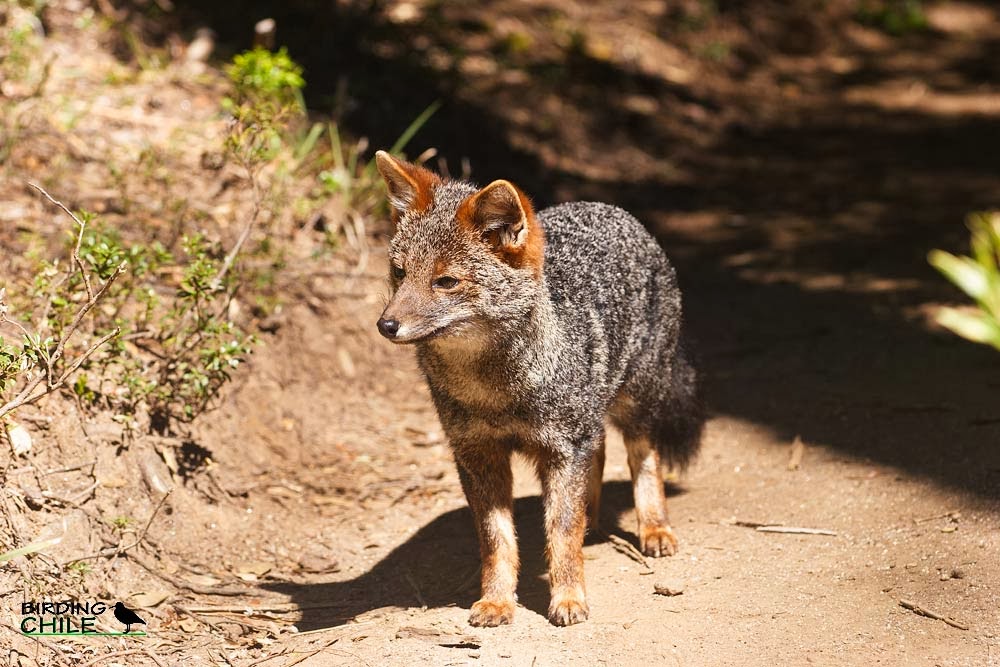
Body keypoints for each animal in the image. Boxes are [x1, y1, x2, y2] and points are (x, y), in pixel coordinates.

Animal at [373, 150, 704, 627]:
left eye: (446, 281)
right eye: (400, 273)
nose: (386, 325)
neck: (494, 394)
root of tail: (608, 207)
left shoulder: (563, 450)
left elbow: (561, 532)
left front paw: (568, 597)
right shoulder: (477, 455)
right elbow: (497, 541)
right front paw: (497, 601)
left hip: (635, 404)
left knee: (643, 457)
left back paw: (654, 527)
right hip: (591, 420)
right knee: (599, 453)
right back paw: (594, 520)